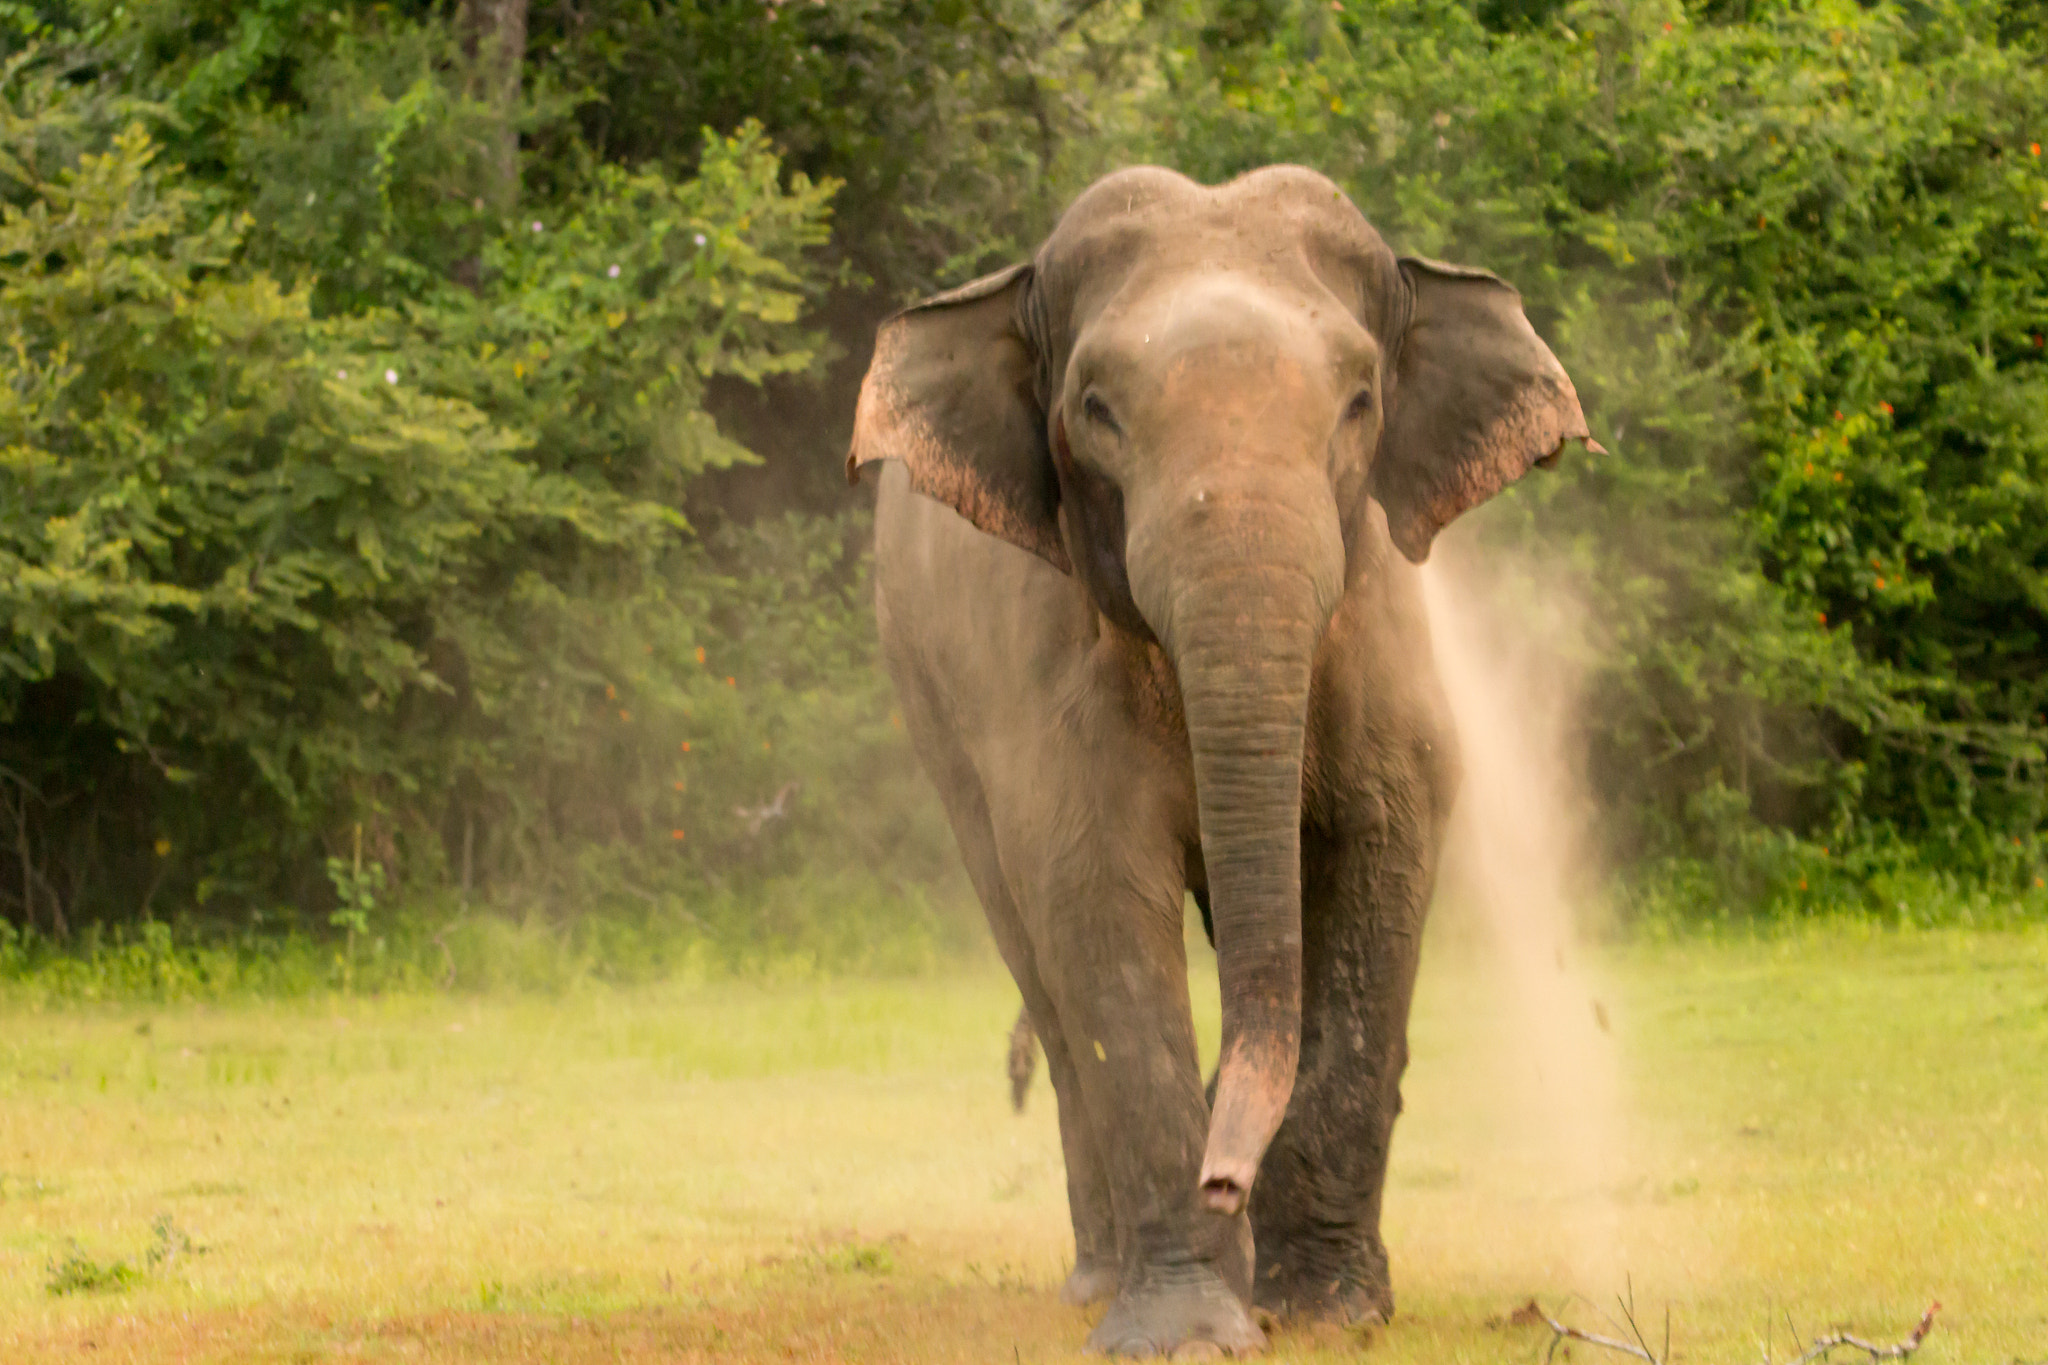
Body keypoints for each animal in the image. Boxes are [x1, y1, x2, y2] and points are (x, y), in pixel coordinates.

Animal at [848, 164, 1598, 1357]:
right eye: (1096, 411)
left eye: (1359, 401)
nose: (1221, 1182)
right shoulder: (1046, 663)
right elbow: (1094, 893)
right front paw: (1189, 1334)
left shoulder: (1383, 627)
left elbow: (1381, 849)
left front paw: (1325, 1309)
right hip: (926, 698)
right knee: (1038, 971)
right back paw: (1099, 1280)